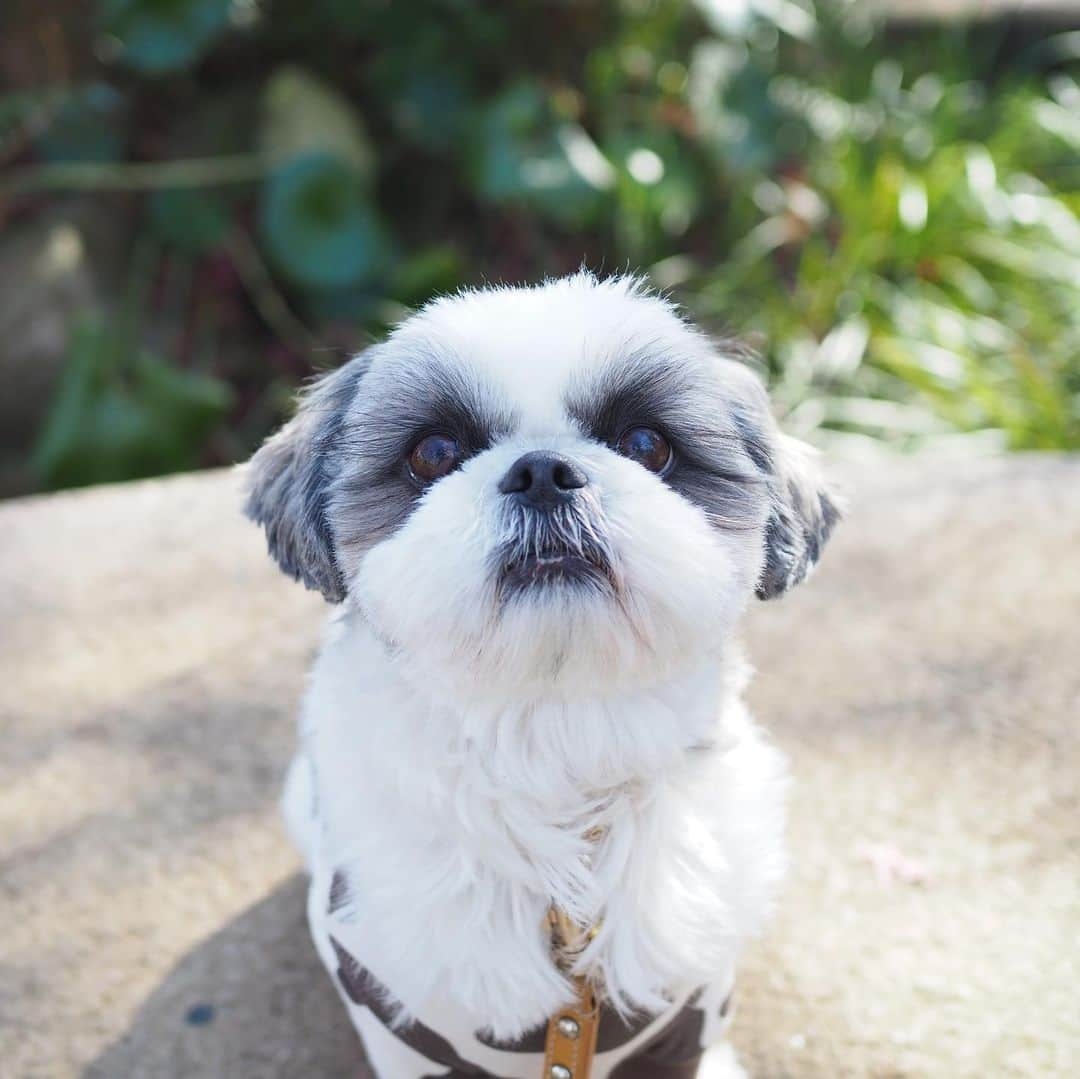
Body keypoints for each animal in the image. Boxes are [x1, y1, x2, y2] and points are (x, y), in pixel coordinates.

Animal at [245, 274, 833, 1075]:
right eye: (433, 451)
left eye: (647, 444)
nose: (543, 471)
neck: (554, 736)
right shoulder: (400, 1020)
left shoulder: (685, 1011)